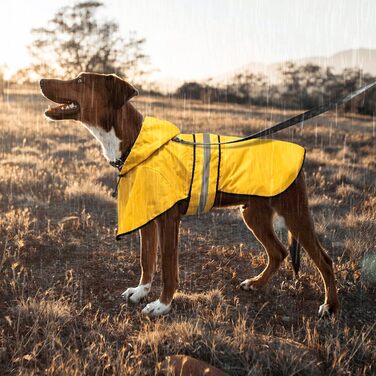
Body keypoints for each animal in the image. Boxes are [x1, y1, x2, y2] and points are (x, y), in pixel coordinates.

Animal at [39, 72, 340, 318]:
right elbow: (146, 260)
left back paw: (330, 306)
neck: (134, 141)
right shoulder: (148, 219)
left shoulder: (169, 221)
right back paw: (256, 283)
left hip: (295, 215)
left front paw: (162, 305)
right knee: (278, 252)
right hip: (254, 214)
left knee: (324, 260)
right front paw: (140, 292)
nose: (41, 80)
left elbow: (168, 268)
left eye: (80, 81)